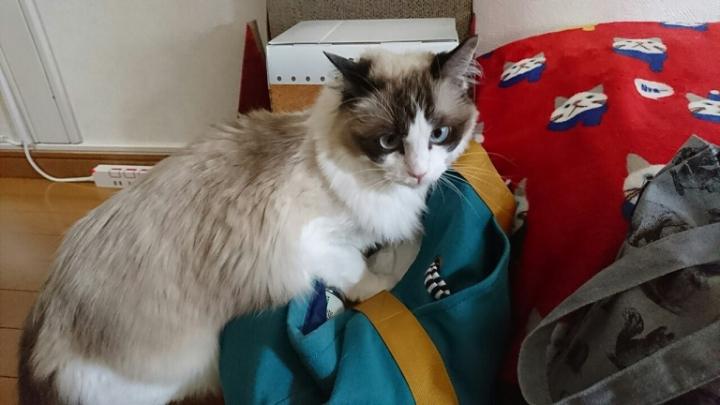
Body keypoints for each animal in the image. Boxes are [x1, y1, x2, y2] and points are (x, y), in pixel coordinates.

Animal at [18, 37, 481, 405]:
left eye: (439, 135)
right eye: (387, 141)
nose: (419, 174)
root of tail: (44, 314)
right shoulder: (316, 244)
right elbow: (366, 274)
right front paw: (389, 277)